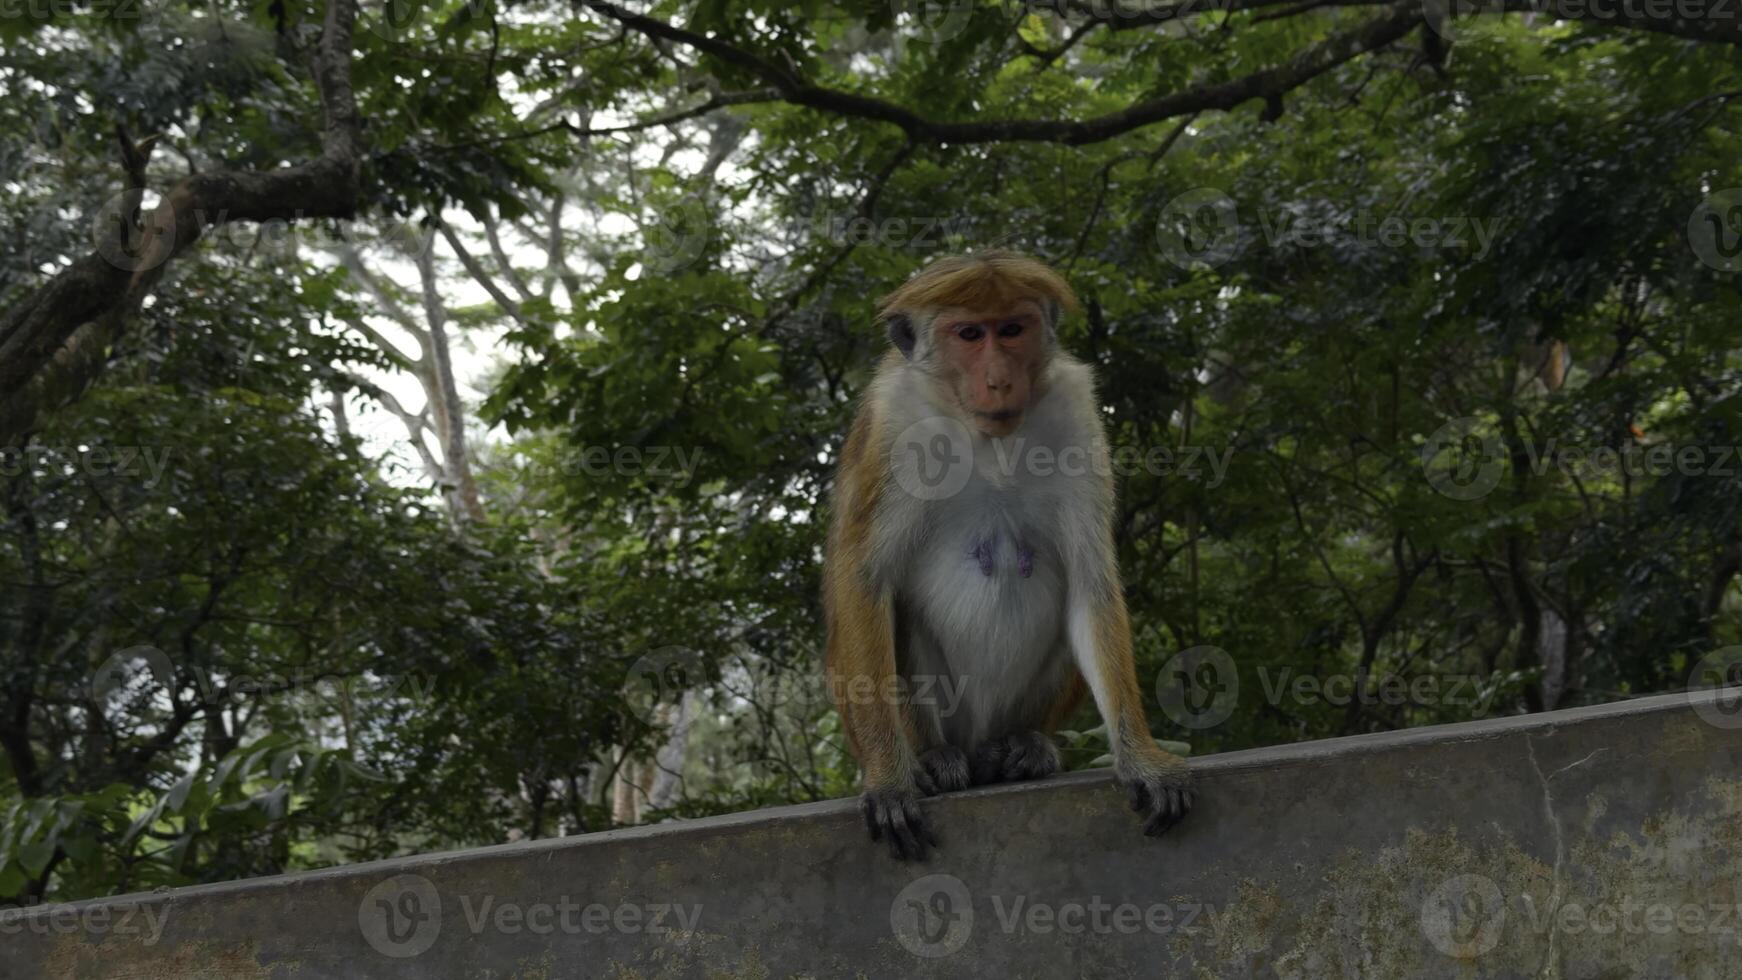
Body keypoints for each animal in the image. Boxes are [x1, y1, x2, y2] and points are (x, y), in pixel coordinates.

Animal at [822, 250, 1191, 859]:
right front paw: (888, 779)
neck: (984, 434)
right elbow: (864, 578)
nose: (998, 379)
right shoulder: (891, 422)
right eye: (970, 334)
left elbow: (1090, 581)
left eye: (1012, 330)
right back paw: (933, 759)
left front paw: (1142, 757)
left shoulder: (1075, 411)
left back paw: (1024, 746)